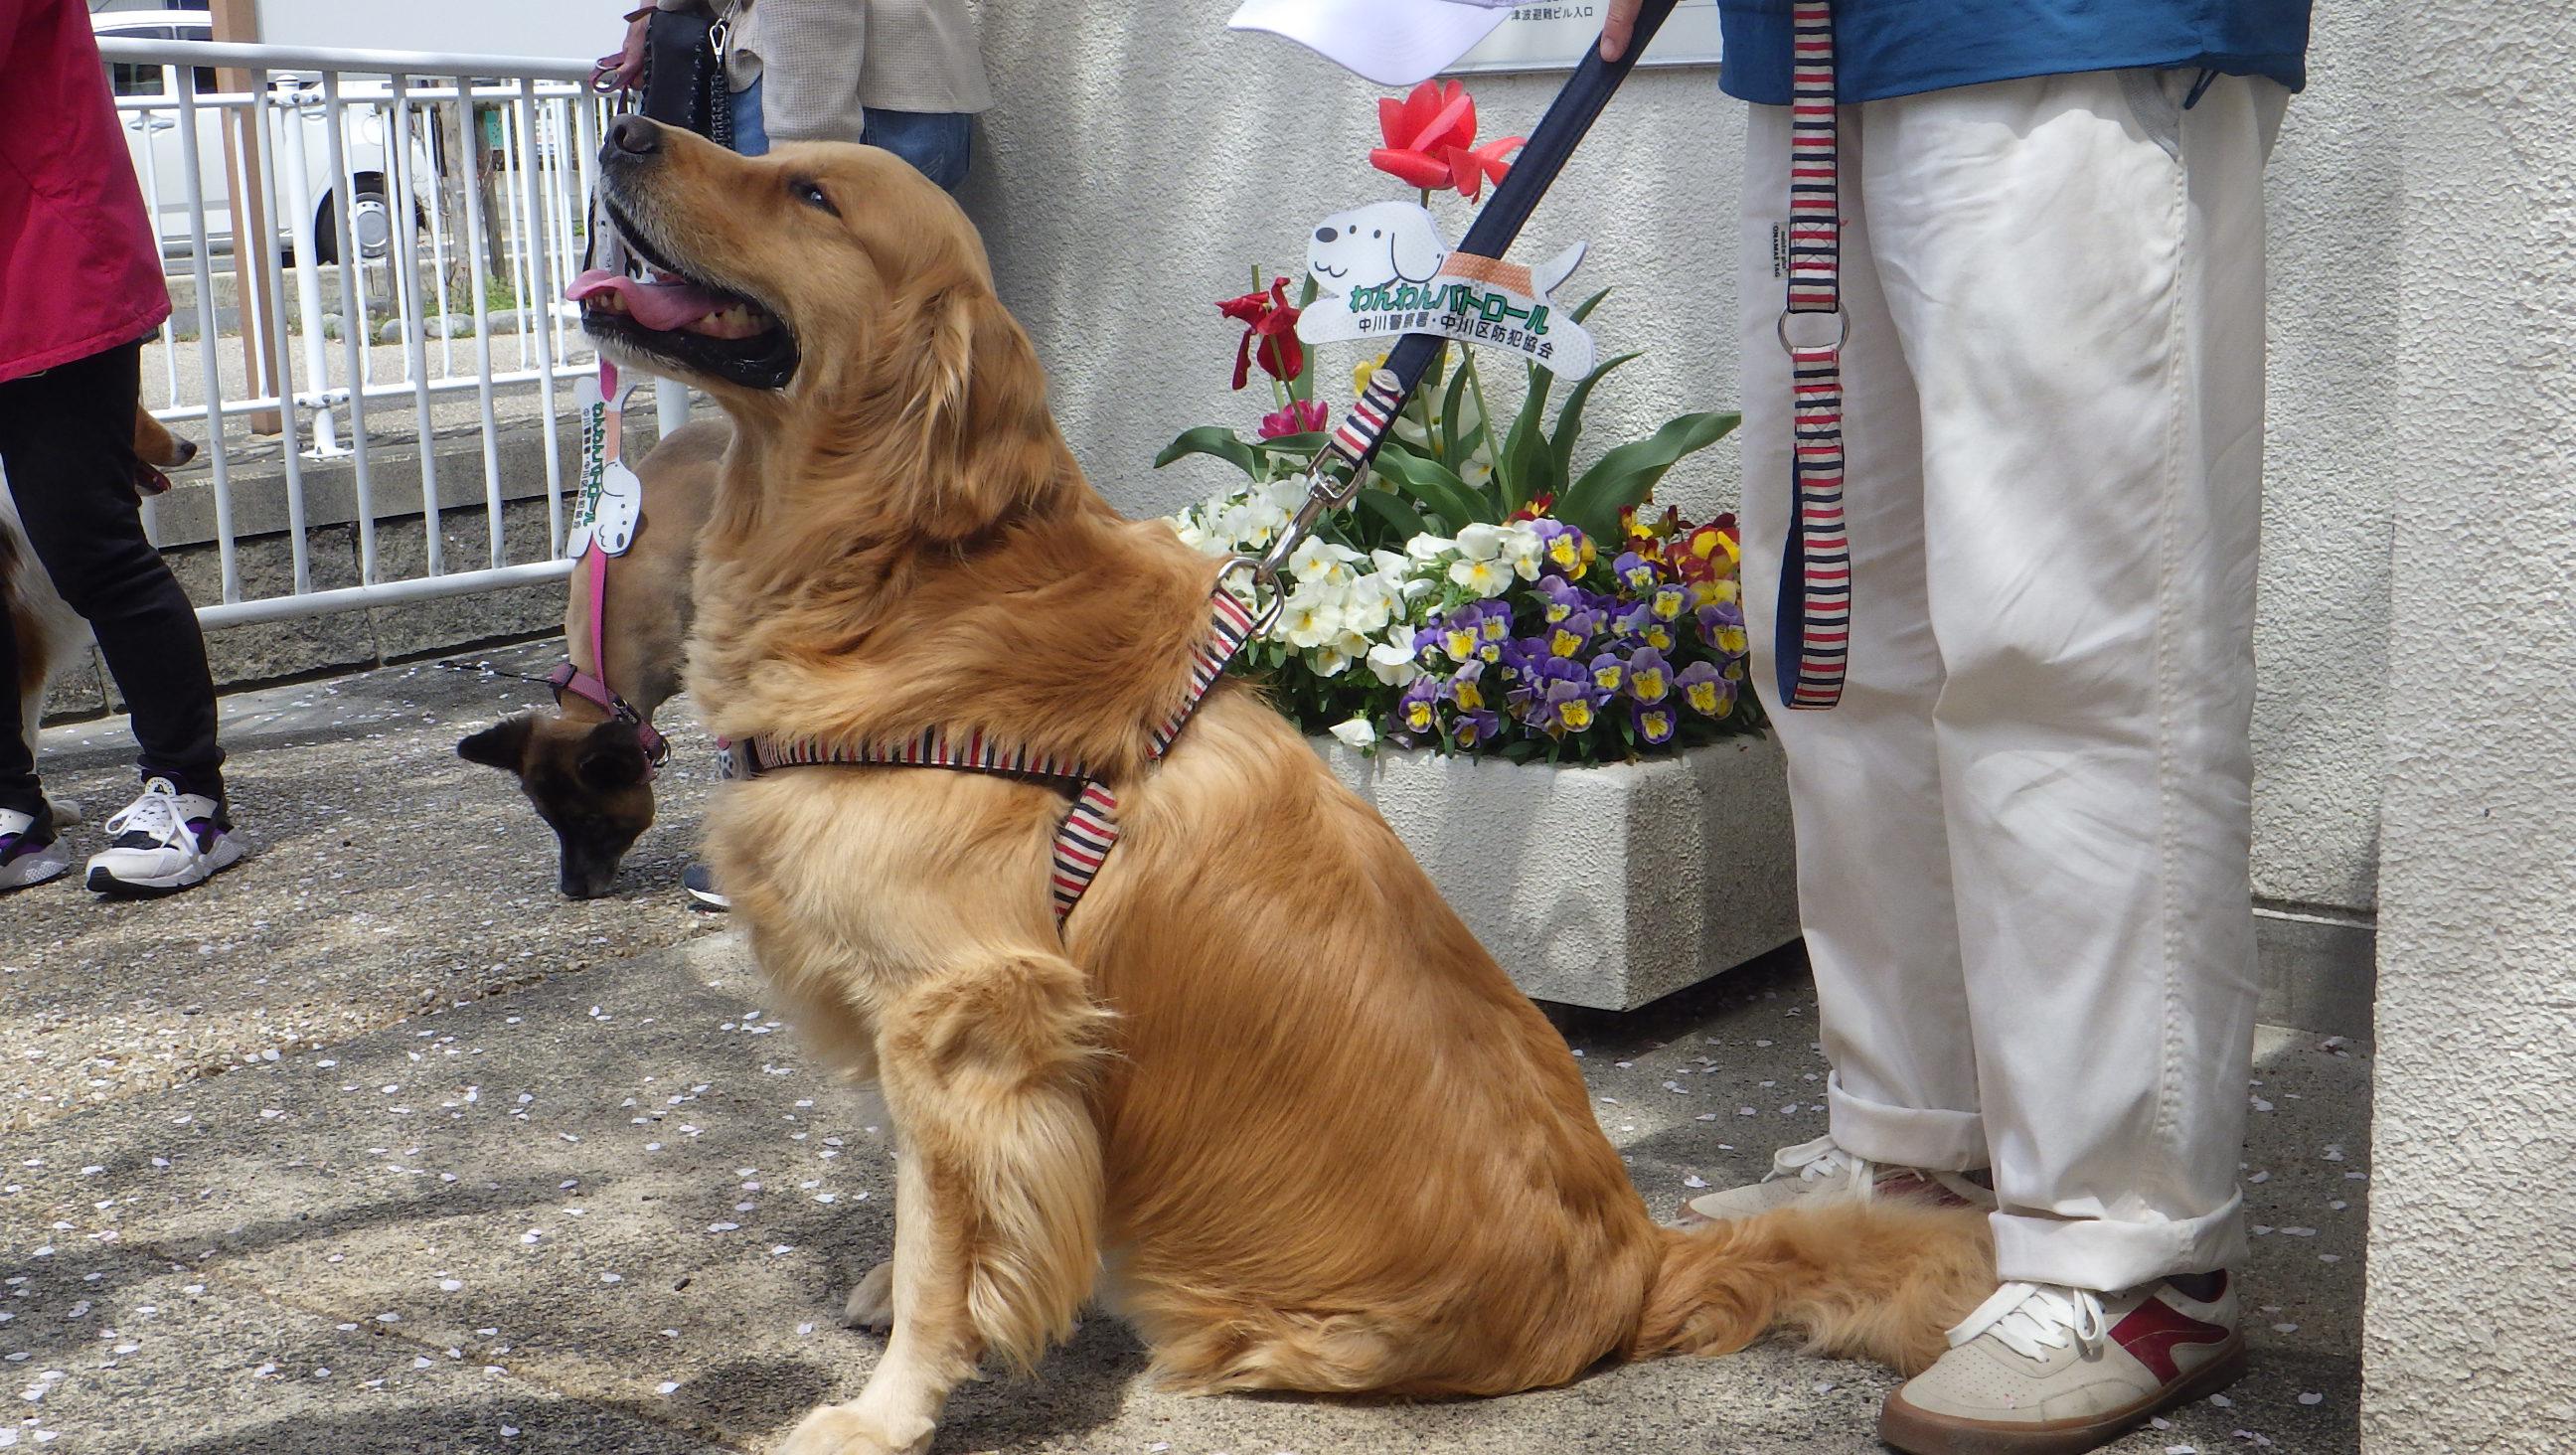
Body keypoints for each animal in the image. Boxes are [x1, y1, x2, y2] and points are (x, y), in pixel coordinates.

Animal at [579, 116, 1989, 1452]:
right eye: (780, 158)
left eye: (812, 195)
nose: (627, 127)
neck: (893, 568)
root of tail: (1640, 1266)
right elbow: (929, 1211)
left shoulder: (969, 1016)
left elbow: (946, 1246)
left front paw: (890, 1408)